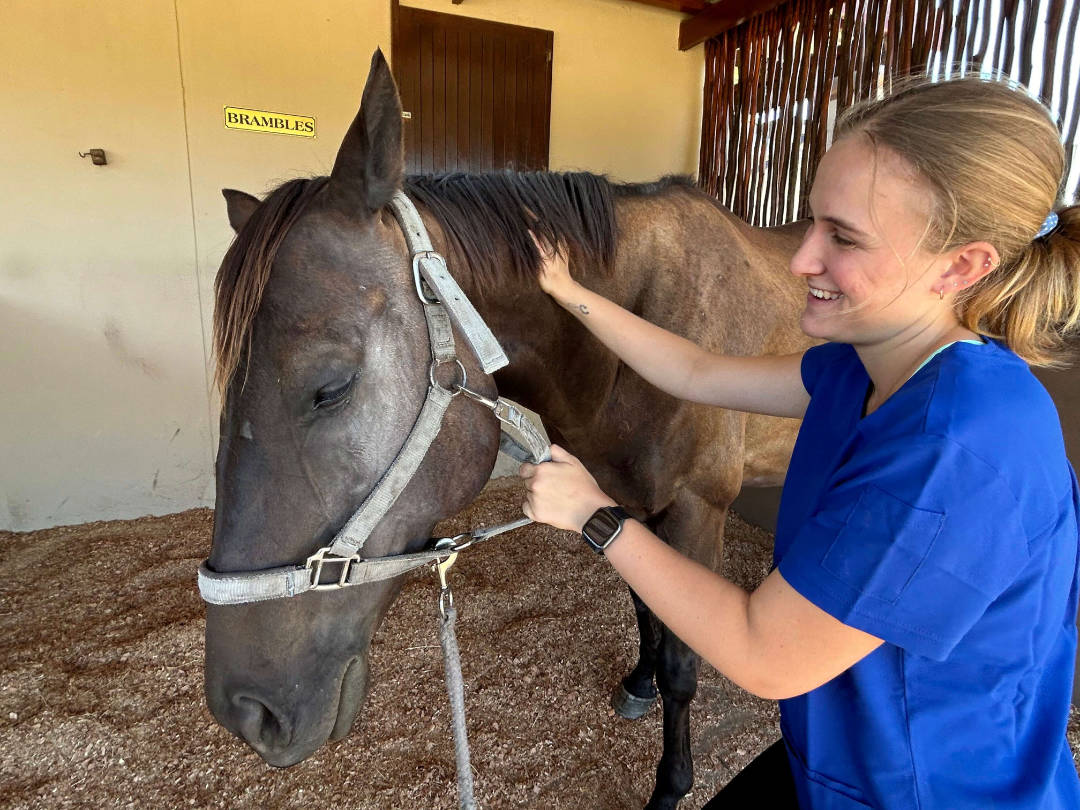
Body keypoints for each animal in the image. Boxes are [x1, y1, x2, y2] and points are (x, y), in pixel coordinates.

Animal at [203, 49, 812, 810]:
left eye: (330, 388)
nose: (245, 711)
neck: (627, 336)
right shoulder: (620, 496)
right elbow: (645, 605)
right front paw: (638, 681)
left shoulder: (696, 509)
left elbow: (682, 662)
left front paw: (671, 785)